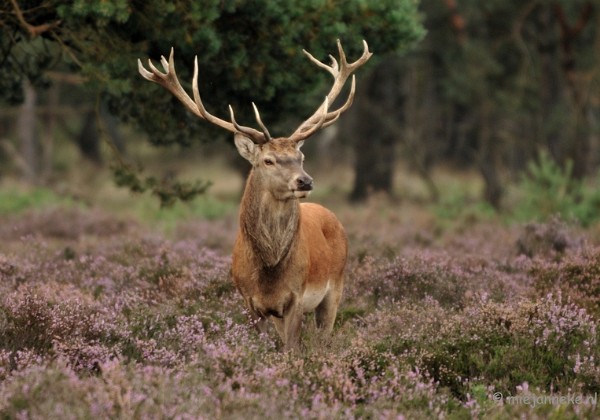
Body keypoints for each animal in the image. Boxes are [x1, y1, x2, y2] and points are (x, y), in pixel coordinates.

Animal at [139, 39, 372, 350]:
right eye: (268, 160)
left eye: (301, 156)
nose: (305, 181)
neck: (268, 270)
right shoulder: (249, 301)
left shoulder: (297, 297)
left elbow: (291, 349)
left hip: (336, 284)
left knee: (325, 334)